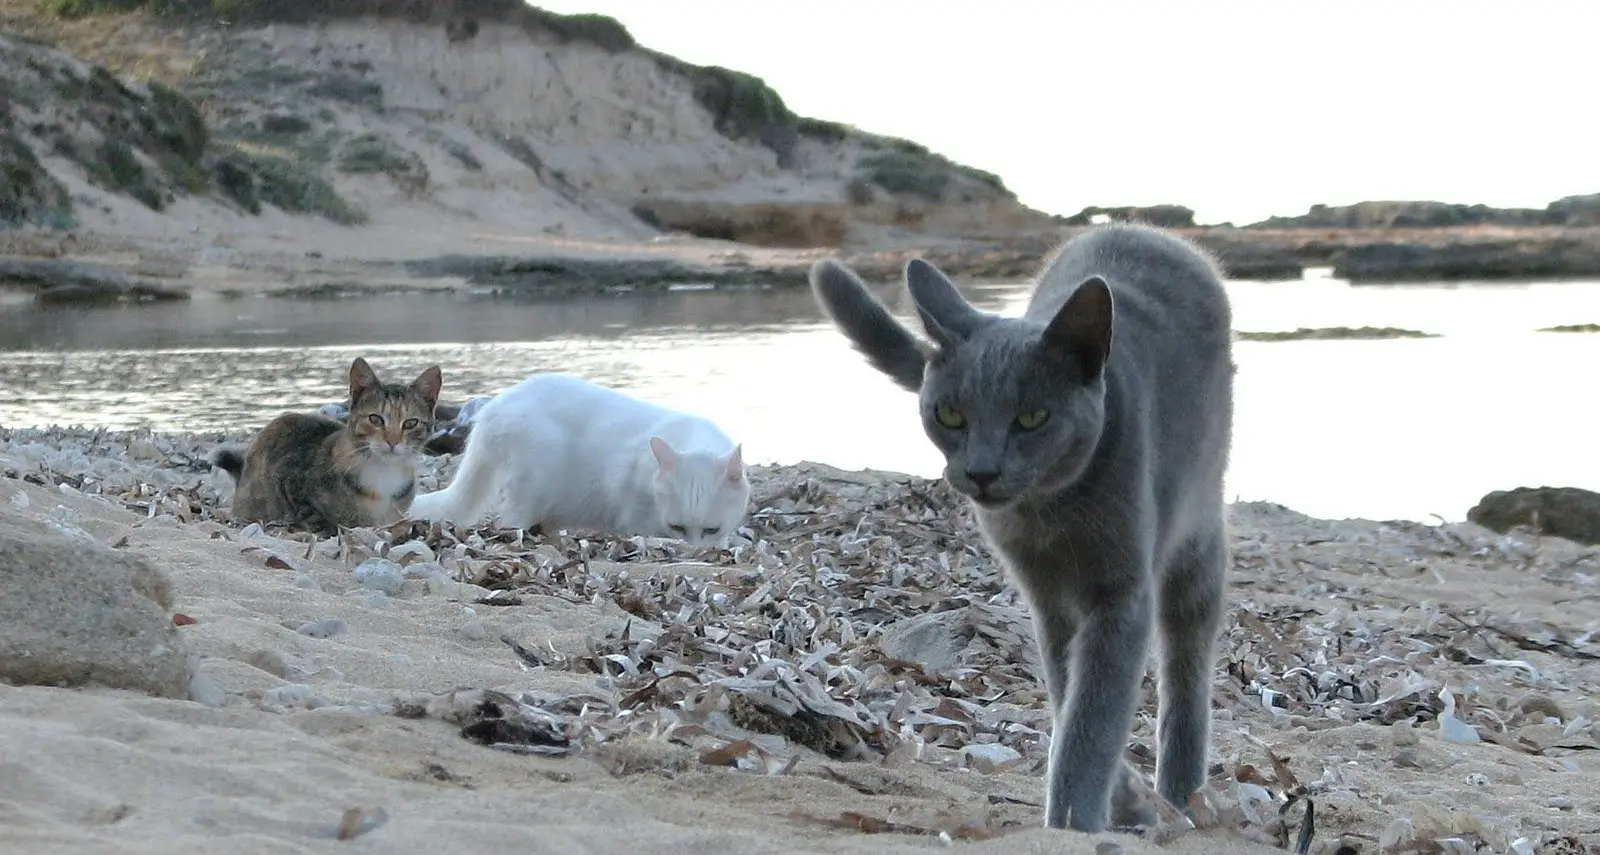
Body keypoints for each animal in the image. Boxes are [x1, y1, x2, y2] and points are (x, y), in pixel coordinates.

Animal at [400, 374, 748, 550]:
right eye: (678, 527)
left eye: (711, 529)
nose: (695, 552)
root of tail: (491, 410)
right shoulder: (629, 497)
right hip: (535, 476)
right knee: (510, 520)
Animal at [812, 224, 1235, 832]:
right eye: (950, 415)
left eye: (1032, 418)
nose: (983, 471)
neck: (1047, 516)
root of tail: (1145, 229)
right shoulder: (1048, 600)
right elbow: (1068, 695)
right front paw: (1114, 801)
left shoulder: (1120, 592)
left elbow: (1093, 715)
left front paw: (1075, 821)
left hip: (1197, 529)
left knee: (1187, 661)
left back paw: (1181, 793)